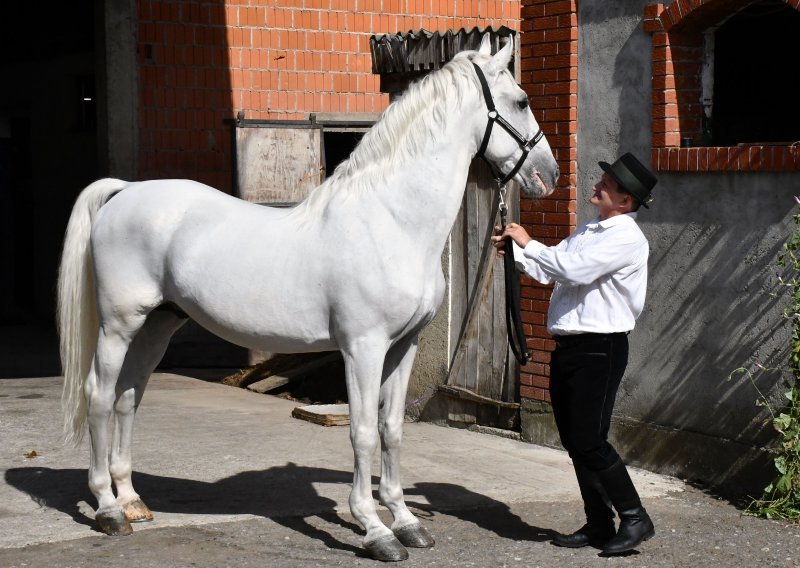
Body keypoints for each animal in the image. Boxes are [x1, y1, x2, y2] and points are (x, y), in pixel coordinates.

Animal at [57, 36, 556, 564]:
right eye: (521, 101)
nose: (551, 174)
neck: (391, 220)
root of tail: (125, 191)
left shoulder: (405, 346)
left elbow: (392, 429)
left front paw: (406, 522)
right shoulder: (362, 348)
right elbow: (362, 431)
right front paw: (374, 530)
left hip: (158, 324)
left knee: (128, 397)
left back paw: (133, 501)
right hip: (118, 325)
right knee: (99, 394)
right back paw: (108, 509)